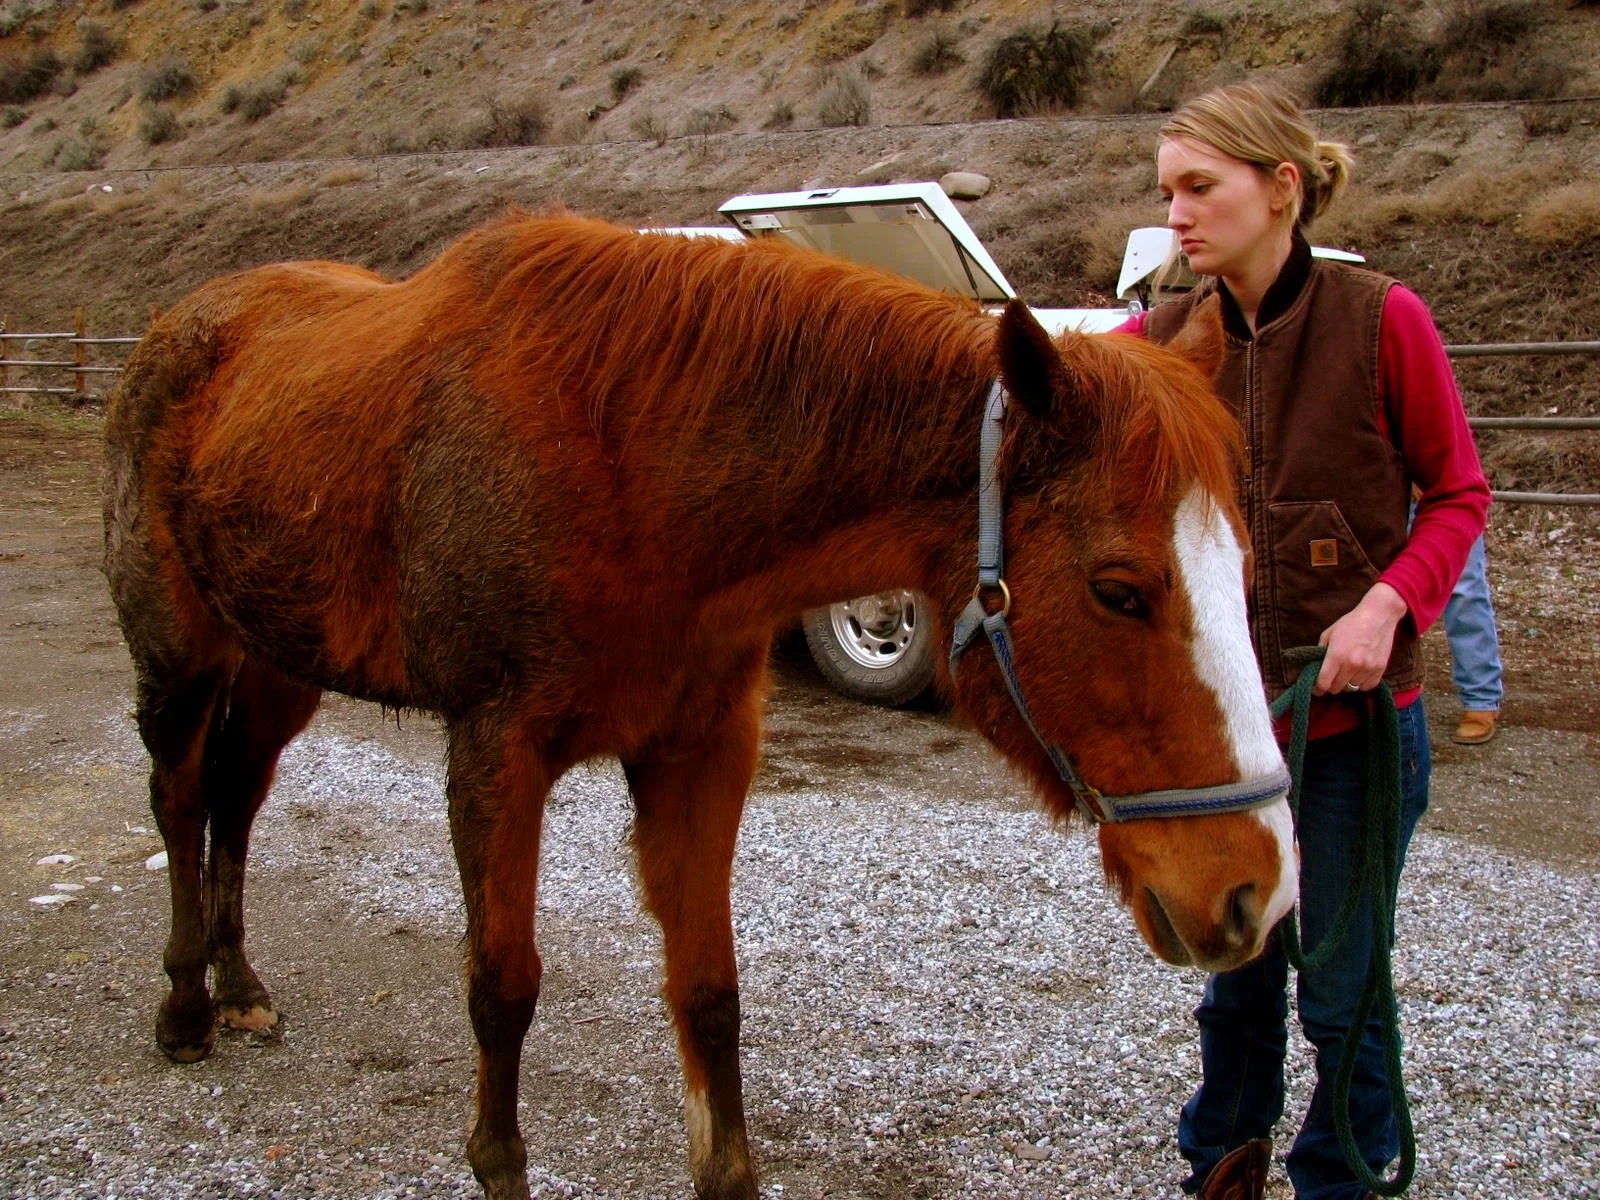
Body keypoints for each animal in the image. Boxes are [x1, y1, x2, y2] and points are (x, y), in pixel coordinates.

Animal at [103, 209, 1297, 1200]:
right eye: (1119, 589)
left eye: (1242, 567)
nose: (1254, 890)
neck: (631, 461)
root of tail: (169, 330)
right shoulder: (496, 752)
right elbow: (503, 986)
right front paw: (496, 1160)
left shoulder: (702, 752)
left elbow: (710, 992)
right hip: (182, 661)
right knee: (180, 799)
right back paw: (185, 1006)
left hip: (278, 667)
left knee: (235, 803)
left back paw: (239, 982)